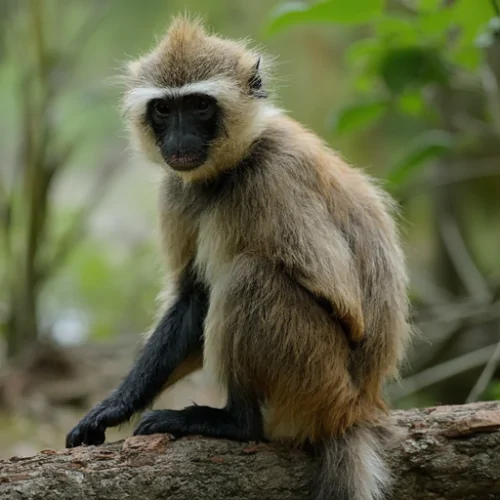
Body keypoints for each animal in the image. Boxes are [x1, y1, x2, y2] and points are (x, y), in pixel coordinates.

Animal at [66, 15, 410, 500]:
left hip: (320, 384)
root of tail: (357, 408)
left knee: (250, 274)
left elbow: (345, 307)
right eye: (164, 110)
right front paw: (114, 407)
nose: (180, 137)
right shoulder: (178, 188)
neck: (232, 165)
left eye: (199, 106)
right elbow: (193, 296)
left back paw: (237, 423)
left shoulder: (268, 178)